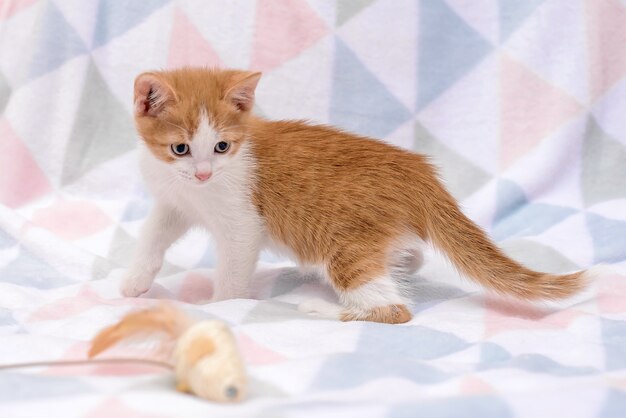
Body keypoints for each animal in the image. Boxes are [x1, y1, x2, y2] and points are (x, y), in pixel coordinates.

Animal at [119, 68, 588, 324]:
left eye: (222, 146)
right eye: (180, 148)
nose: (203, 172)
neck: (196, 187)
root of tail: (419, 172)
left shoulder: (241, 222)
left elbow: (233, 269)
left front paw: (221, 306)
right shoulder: (175, 199)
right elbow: (153, 232)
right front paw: (134, 280)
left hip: (345, 242)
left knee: (393, 308)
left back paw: (323, 308)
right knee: (409, 258)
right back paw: (397, 262)